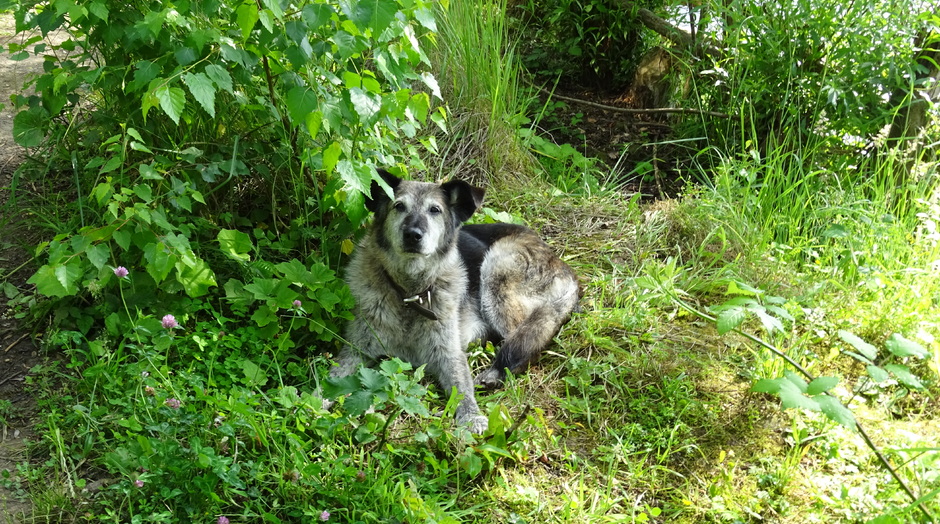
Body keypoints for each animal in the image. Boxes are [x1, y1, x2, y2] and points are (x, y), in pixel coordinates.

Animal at [330, 169, 580, 434]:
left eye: (435, 210)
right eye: (398, 206)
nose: (413, 235)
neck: (410, 294)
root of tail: (563, 266)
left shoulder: (449, 354)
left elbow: (461, 388)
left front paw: (472, 417)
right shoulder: (355, 351)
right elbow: (330, 382)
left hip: (497, 269)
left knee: (527, 341)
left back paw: (494, 373)